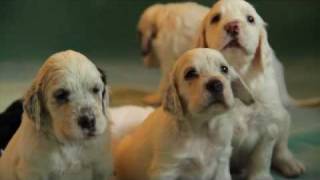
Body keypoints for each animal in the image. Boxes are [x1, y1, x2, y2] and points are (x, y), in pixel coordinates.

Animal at [0, 50, 112, 180]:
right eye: (61, 95)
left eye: (95, 89)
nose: (88, 120)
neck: (72, 144)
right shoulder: (34, 170)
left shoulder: (102, 166)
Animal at [115, 47, 255, 180]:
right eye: (191, 73)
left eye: (224, 69)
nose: (216, 84)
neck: (201, 130)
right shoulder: (166, 169)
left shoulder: (222, 162)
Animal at [195, 0, 304, 177]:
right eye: (216, 18)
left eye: (250, 19)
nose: (232, 26)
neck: (239, 72)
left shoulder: (268, 126)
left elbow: (262, 157)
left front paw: (260, 177)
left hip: (283, 117)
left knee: (281, 147)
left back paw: (290, 164)